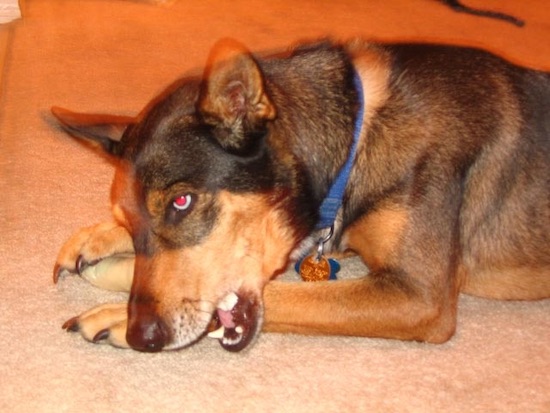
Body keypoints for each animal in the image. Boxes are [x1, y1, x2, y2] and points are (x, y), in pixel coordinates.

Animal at [54, 38, 550, 352]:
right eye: (130, 221)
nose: (143, 335)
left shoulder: (419, 296)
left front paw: (114, 314)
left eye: (182, 202)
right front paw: (101, 240)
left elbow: (290, 297)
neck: (357, 138)